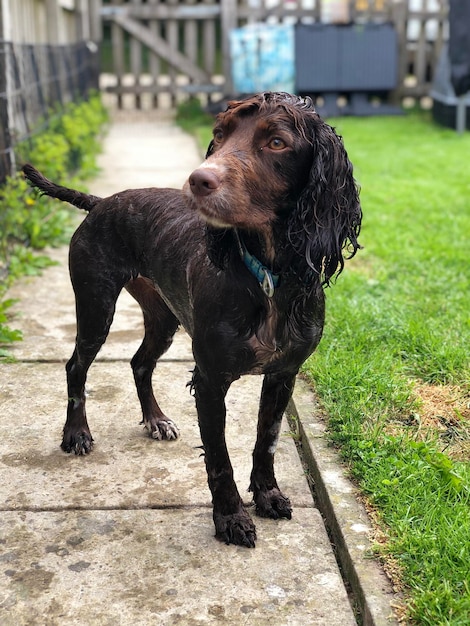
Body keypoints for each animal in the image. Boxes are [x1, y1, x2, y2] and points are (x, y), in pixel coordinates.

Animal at [22, 90, 362, 544]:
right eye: (219, 135)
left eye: (277, 142)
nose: (199, 180)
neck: (268, 277)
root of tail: (102, 202)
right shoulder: (210, 380)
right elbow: (219, 458)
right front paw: (231, 517)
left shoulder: (282, 375)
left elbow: (267, 442)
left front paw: (268, 494)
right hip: (96, 306)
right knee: (76, 366)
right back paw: (77, 433)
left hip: (162, 317)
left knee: (140, 363)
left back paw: (156, 420)